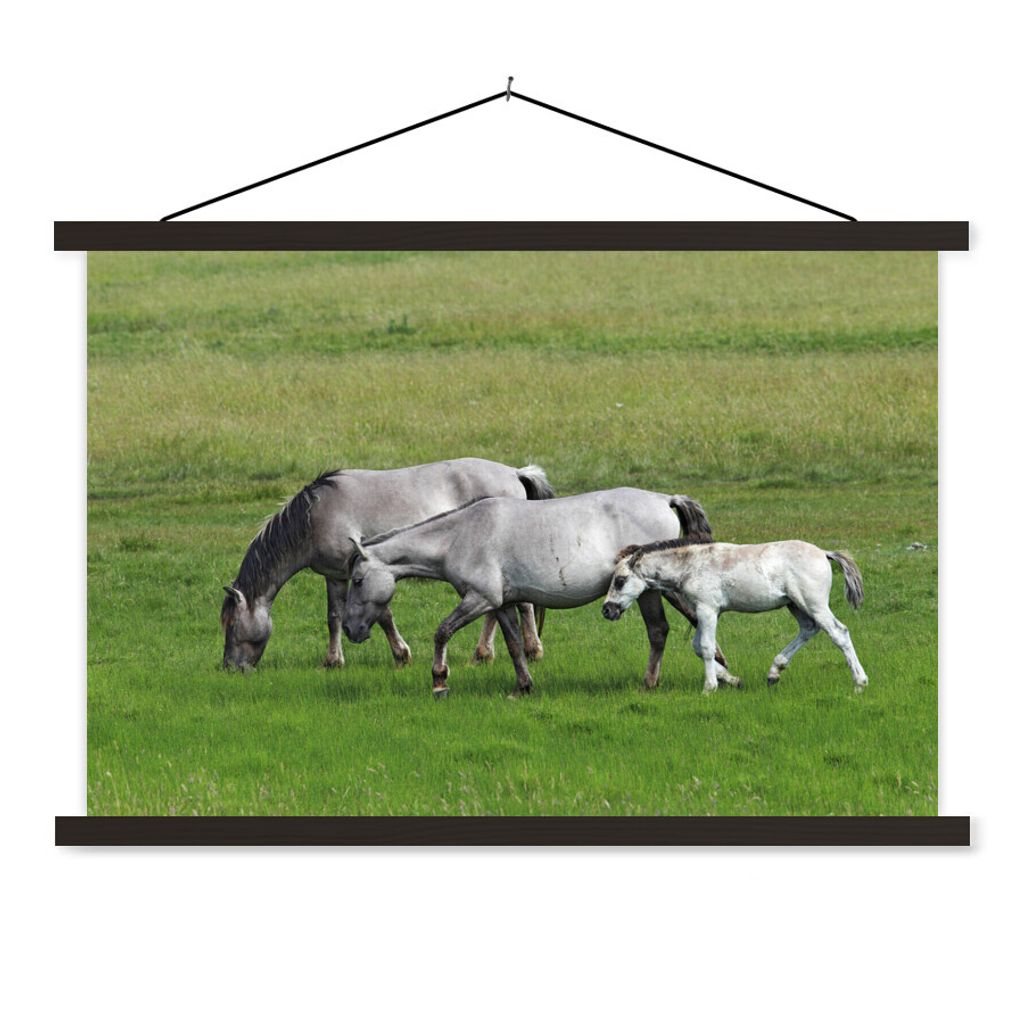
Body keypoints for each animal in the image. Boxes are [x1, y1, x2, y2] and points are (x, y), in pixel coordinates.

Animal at [220, 458, 554, 670]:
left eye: (232, 624)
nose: (229, 667)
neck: (314, 517)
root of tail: (515, 472)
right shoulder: (335, 575)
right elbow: (334, 617)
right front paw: (333, 661)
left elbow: (383, 615)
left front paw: (401, 655)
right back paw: (488, 653)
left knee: (520, 606)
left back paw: (526, 651)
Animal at [341, 489, 732, 698]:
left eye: (357, 580)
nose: (350, 629)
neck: (459, 535)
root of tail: (665, 499)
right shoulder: (500, 604)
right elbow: (515, 645)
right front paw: (523, 686)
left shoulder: (479, 599)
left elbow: (442, 631)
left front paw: (439, 681)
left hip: (650, 591)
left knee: (662, 630)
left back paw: (654, 682)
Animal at [602, 534, 868, 693]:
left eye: (620, 580)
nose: (607, 610)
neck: (692, 565)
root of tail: (824, 552)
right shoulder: (707, 612)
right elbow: (699, 647)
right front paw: (732, 680)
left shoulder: (707, 609)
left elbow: (707, 647)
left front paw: (709, 687)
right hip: (795, 605)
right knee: (809, 629)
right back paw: (774, 672)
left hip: (814, 604)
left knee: (839, 633)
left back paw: (860, 683)